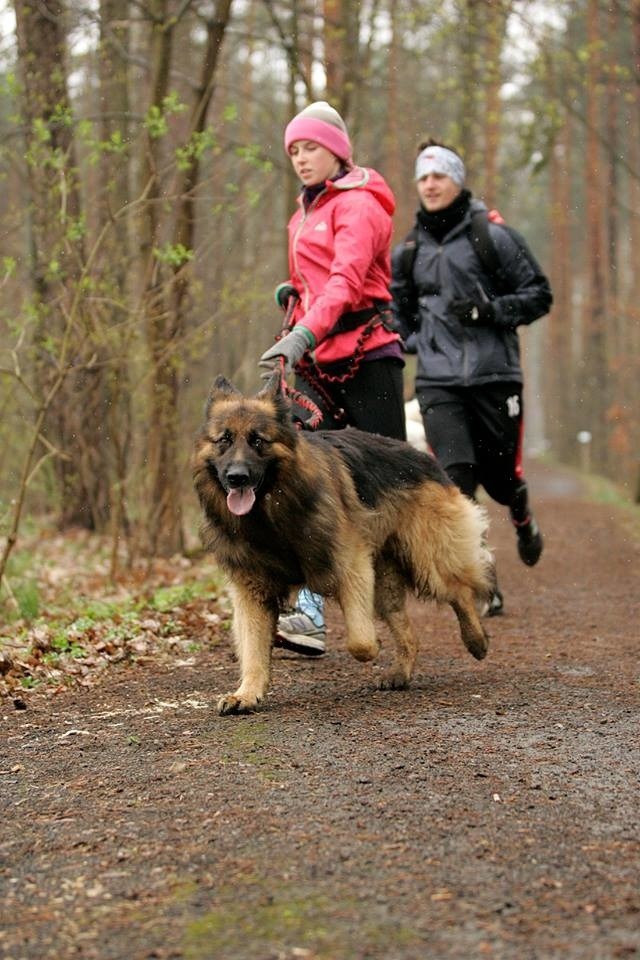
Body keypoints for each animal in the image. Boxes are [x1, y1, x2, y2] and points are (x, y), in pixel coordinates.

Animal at [192, 374, 492, 712]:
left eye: (258, 441)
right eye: (224, 440)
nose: (236, 477)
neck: (270, 516)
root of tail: (419, 455)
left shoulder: (351, 564)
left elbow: (360, 642)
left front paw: (373, 647)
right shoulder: (252, 589)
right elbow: (253, 647)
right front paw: (246, 693)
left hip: (427, 561)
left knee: (460, 591)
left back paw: (477, 640)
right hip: (384, 582)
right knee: (409, 632)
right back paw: (401, 672)